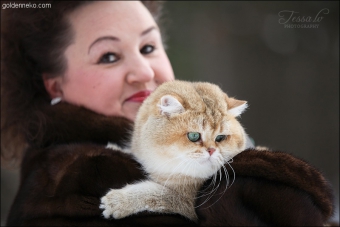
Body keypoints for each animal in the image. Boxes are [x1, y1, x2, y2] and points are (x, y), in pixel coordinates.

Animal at [98, 80, 247, 222]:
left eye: (220, 138)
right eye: (194, 136)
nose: (211, 150)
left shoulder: (188, 202)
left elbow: (154, 193)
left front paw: (119, 200)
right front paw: (115, 148)